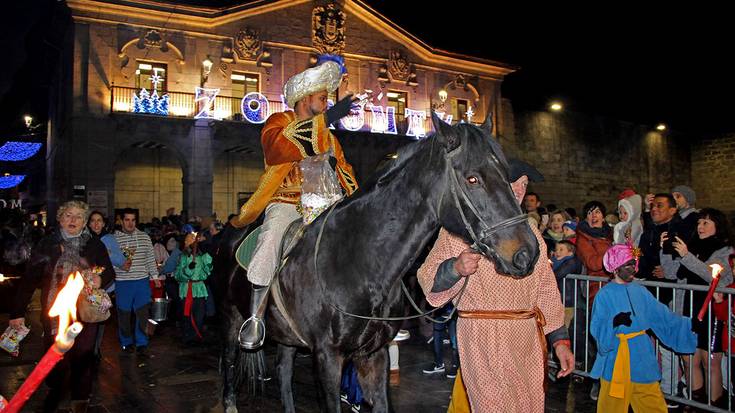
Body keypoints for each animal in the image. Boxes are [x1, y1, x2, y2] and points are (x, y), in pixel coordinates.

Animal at [213, 112, 540, 412]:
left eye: (506, 174)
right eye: (472, 178)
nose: (527, 252)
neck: (360, 262)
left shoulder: (374, 354)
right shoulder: (328, 358)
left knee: (283, 371)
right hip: (230, 316)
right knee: (229, 359)